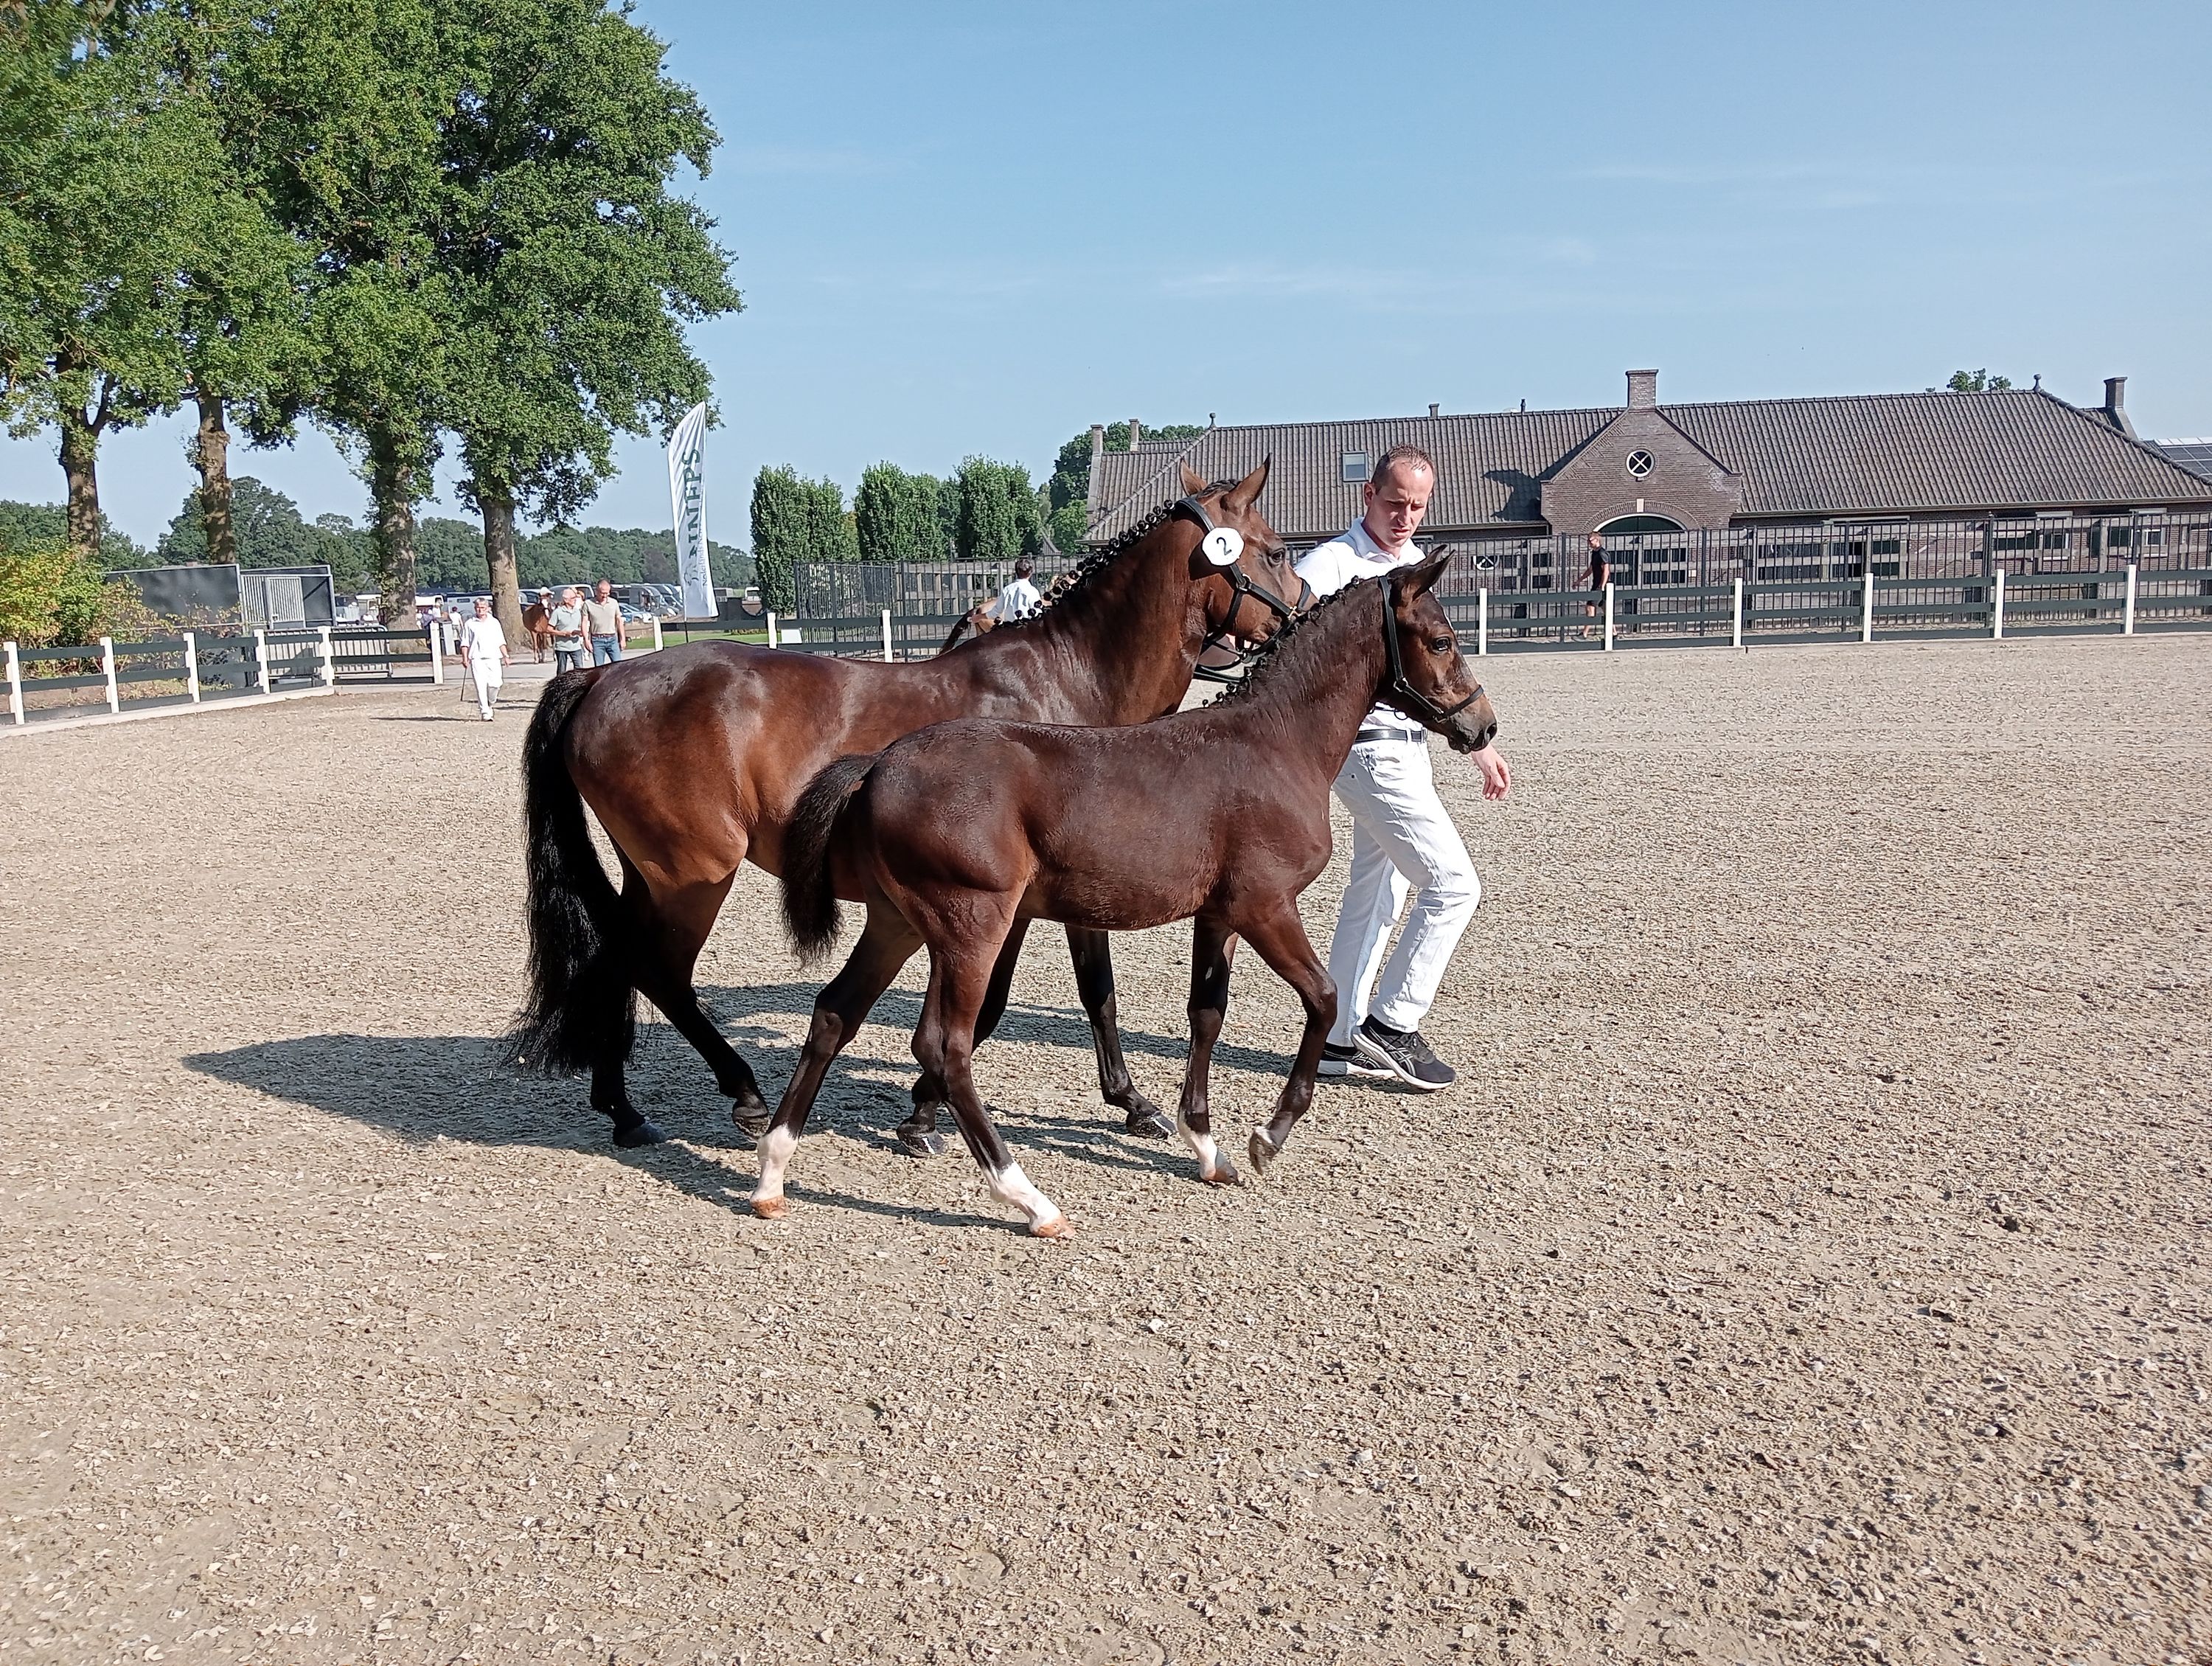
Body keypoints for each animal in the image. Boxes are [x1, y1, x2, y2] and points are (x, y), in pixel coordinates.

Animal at [506, 462, 1309, 1151]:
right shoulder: (1031, 901)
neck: (1065, 683)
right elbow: (1030, 1001)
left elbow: (1065, 996)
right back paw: (742, 1092)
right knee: (660, 973)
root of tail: (602, 676)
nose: (1303, 617)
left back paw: (621, 1107)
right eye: (1274, 551)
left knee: (614, 963)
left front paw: (1112, 1102)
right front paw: (936, 1108)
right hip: (695, 874)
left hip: (649, 873)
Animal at [763, 550, 1496, 1235]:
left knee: (835, 1013)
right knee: (945, 1046)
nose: (1483, 727)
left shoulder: (1220, 915)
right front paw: (1269, 1134)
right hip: (971, 926)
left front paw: (1205, 1144)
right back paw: (1030, 1199)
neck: (1274, 743)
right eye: (1440, 640)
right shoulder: (1265, 906)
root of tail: (878, 767)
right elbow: (1323, 997)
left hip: (897, 923)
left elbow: (1207, 1013)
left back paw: (772, 1171)